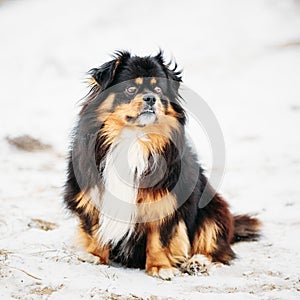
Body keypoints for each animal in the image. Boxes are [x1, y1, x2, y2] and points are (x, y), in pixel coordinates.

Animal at [64, 51, 262, 278]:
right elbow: (95, 228)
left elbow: (159, 237)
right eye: (131, 89)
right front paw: (95, 255)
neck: (135, 138)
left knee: (216, 248)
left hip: (213, 209)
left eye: (158, 89)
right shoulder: (91, 192)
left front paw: (160, 267)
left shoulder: (165, 201)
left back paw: (197, 263)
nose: (151, 98)